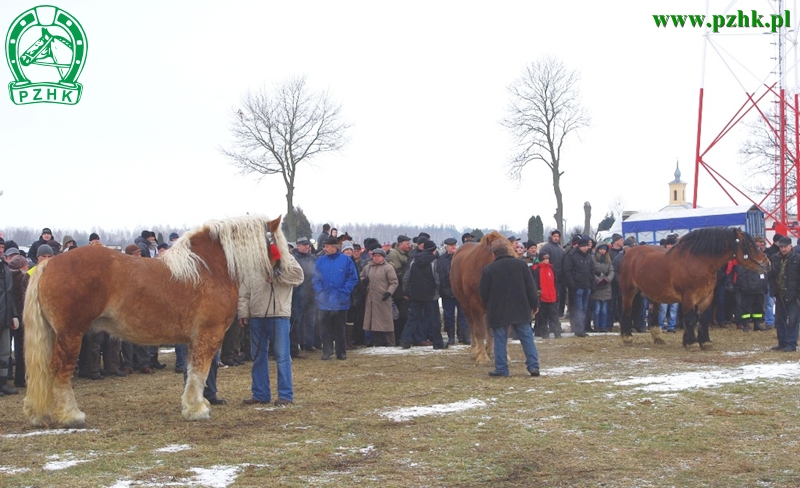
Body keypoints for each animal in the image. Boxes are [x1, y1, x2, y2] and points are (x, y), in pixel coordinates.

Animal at [23, 214, 288, 428]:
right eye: (277, 240)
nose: (283, 270)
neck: (208, 268)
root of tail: (48, 263)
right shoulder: (209, 335)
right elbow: (200, 372)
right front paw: (197, 409)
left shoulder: (192, 339)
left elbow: (191, 372)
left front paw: (193, 405)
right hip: (71, 334)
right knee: (61, 370)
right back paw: (71, 416)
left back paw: (39, 414)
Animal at [446, 231, 516, 364]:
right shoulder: (475, 303)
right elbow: (479, 330)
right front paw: (482, 357)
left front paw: (498, 353)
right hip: (465, 305)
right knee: (471, 326)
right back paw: (474, 350)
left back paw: (490, 349)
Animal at [620, 227, 768, 348]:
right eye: (750, 245)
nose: (767, 263)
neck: (699, 263)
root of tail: (630, 252)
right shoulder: (688, 297)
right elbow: (690, 318)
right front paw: (691, 343)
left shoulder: (707, 296)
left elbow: (703, 319)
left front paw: (705, 341)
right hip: (628, 292)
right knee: (627, 311)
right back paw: (627, 337)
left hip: (655, 293)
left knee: (654, 314)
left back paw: (658, 338)